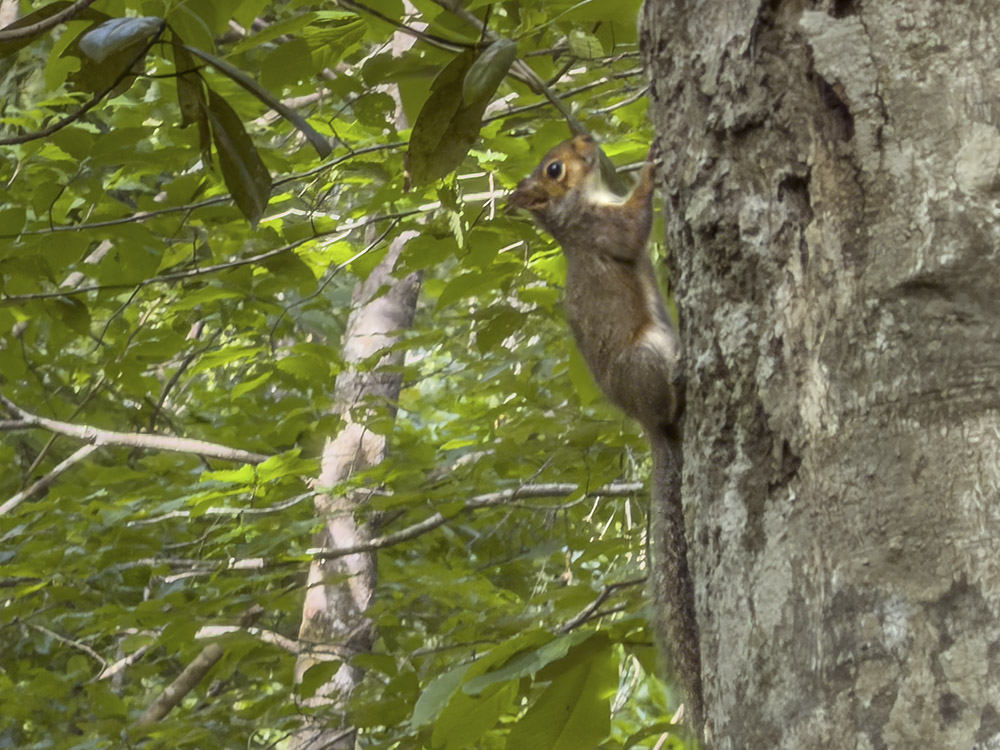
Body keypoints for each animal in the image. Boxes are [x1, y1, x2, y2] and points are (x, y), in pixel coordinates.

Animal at [509, 134, 704, 741]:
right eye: (554, 168)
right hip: (646, 358)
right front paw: (651, 172)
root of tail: (652, 427)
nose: (586, 138)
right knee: (668, 399)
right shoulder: (604, 232)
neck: (585, 205)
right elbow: (634, 227)